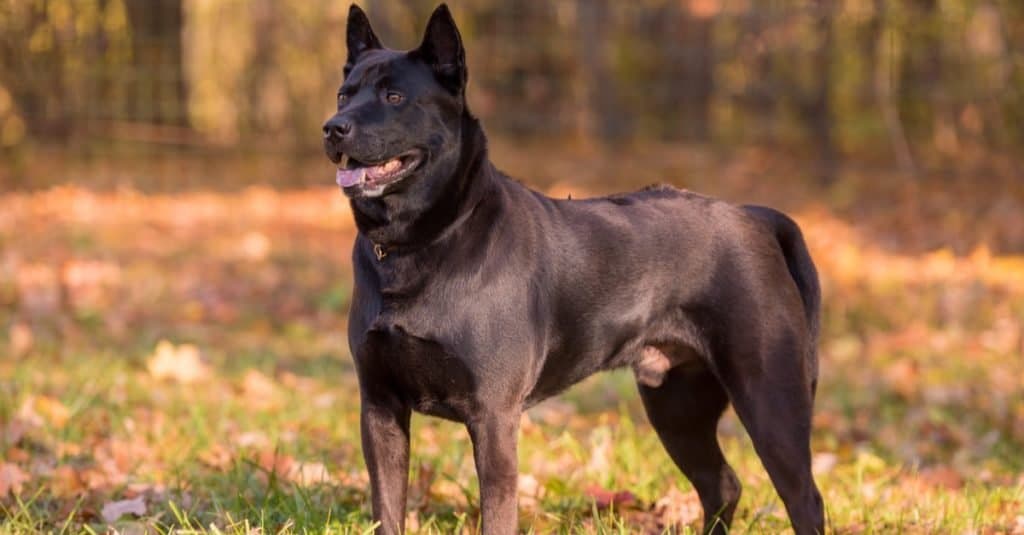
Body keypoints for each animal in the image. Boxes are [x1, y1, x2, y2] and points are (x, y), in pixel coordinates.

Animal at [323, 5, 827, 532]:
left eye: (394, 97)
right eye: (344, 94)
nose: (333, 127)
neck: (419, 241)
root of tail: (754, 215)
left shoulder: (493, 417)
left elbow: (496, 514)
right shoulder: (379, 407)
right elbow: (387, 510)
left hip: (769, 396)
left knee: (803, 497)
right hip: (676, 404)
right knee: (722, 485)